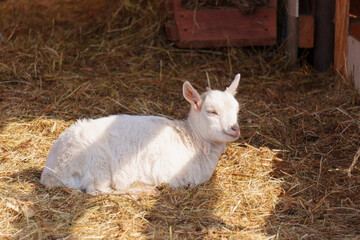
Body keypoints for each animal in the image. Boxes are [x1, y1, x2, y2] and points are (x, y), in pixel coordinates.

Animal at [39, 74, 240, 194]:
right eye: (212, 112)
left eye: (237, 109)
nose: (235, 129)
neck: (192, 139)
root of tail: (50, 171)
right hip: (95, 163)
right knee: (100, 190)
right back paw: (142, 189)